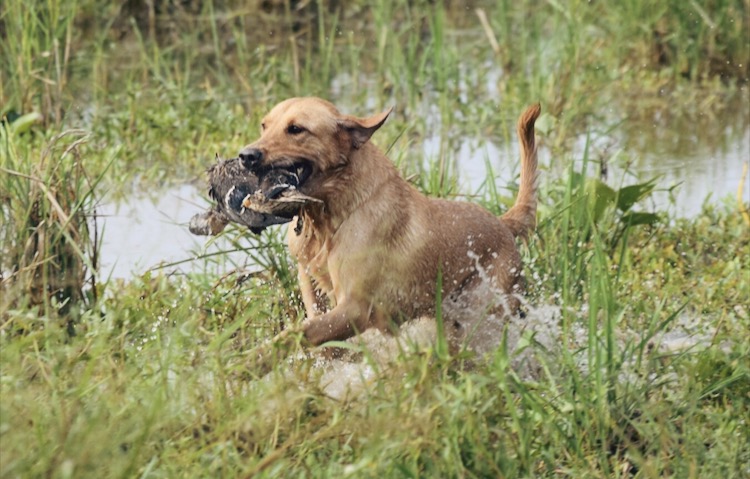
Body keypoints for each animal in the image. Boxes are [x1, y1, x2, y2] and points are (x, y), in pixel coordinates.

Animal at [236, 97, 540, 346]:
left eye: (296, 129)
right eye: (264, 126)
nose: (246, 156)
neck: (330, 215)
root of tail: (502, 223)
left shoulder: (355, 309)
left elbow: (297, 335)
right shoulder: (309, 277)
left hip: (479, 305)